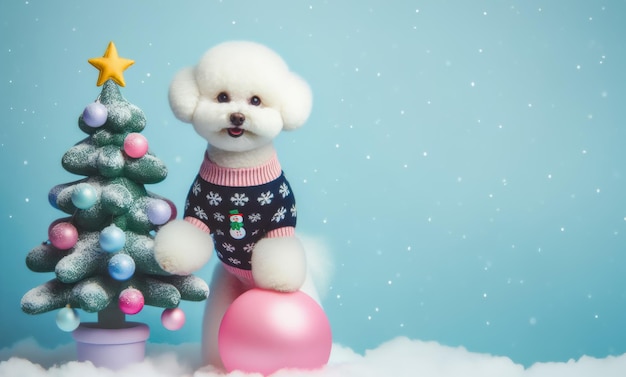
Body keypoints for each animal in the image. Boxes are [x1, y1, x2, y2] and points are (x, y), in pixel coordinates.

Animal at [152, 41, 316, 368]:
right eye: (222, 97)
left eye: (256, 101)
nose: (238, 117)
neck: (239, 175)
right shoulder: (198, 213)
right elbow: (187, 239)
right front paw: (171, 258)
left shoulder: (280, 222)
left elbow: (279, 254)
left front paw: (279, 282)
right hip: (224, 293)